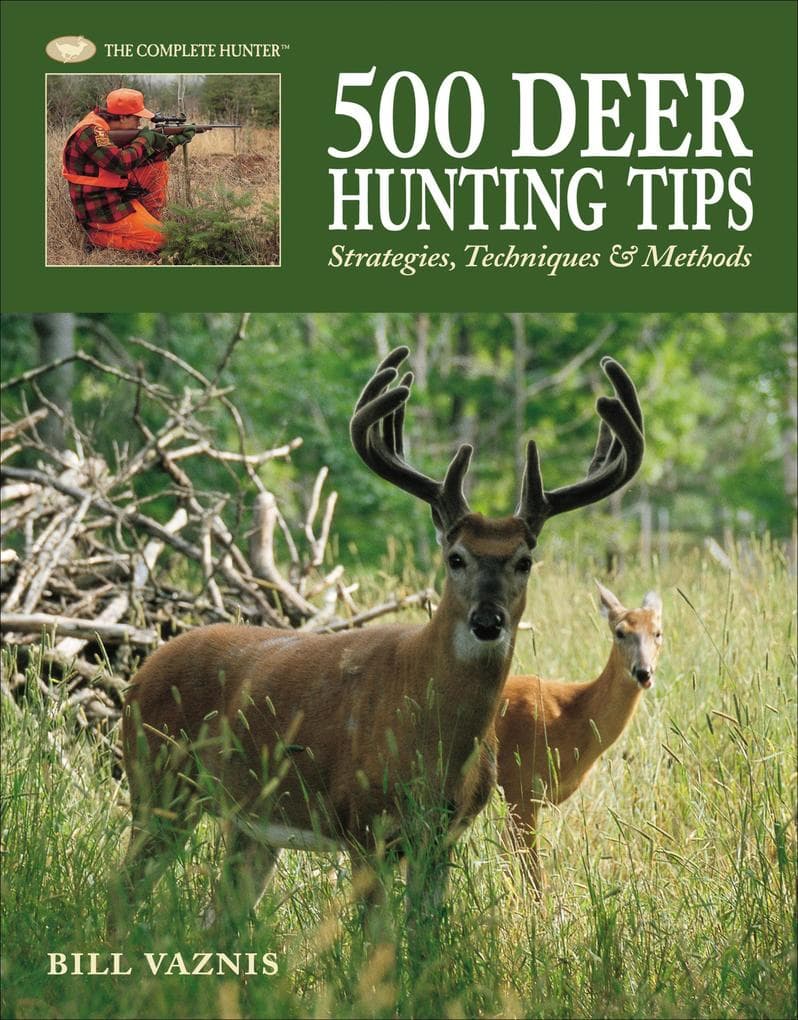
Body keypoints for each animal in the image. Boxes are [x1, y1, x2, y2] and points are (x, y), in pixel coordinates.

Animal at [114, 346, 644, 933]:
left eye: (523, 560)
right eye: (455, 557)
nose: (488, 621)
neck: (431, 737)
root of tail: (139, 673)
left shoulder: (443, 835)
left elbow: (423, 938)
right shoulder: (363, 823)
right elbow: (376, 940)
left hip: (248, 823)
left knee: (216, 916)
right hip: (156, 786)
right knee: (121, 890)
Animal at [496, 582, 663, 892]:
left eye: (657, 632)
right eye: (620, 632)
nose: (643, 672)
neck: (573, 716)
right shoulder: (519, 785)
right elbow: (533, 875)